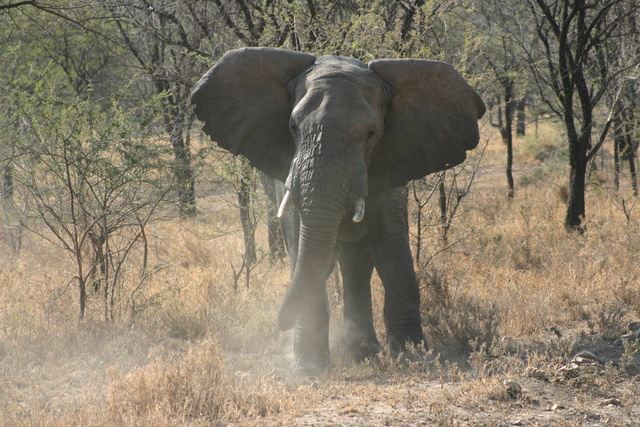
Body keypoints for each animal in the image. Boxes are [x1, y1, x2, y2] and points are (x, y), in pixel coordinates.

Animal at [191, 47, 484, 374]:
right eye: (293, 128)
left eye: (371, 133)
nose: (280, 324)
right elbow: (301, 241)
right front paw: (309, 369)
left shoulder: (391, 163)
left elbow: (391, 246)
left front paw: (416, 358)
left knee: (356, 264)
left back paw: (364, 352)